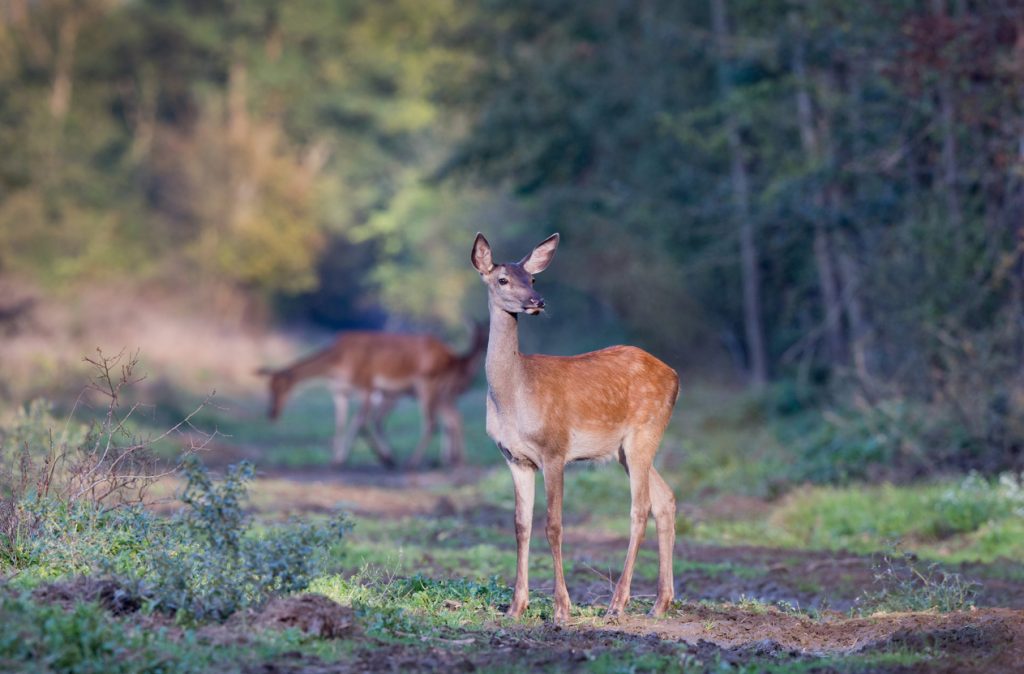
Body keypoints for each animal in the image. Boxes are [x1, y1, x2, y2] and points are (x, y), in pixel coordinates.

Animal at [258, 323, 485, 467]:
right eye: (268, 387)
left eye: (282, 387)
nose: (272, 413)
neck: (337, 362)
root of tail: (451, 356)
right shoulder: (340, 392)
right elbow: (341, 423)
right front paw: (336, 459)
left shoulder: (367, 387)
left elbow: (359, 422)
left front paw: (384, 458)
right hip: (436, 393)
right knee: (451, 418)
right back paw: (452, 459)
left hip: (427, 387)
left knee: (433, 422)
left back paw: (416, 461)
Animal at [471, 231, 679, 618]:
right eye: (503, 279)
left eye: (533, 279)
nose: (536, 301)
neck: (514, 395)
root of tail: (675, 376)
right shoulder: (515, 458)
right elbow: (521, 525)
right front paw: (516, 606)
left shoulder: (554, 449)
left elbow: (553, 525)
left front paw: (561, 607)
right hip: (624, 450)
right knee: (666, 499)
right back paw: (660, 603)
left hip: (645, 432)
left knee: (640, 508)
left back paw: (618, 603)